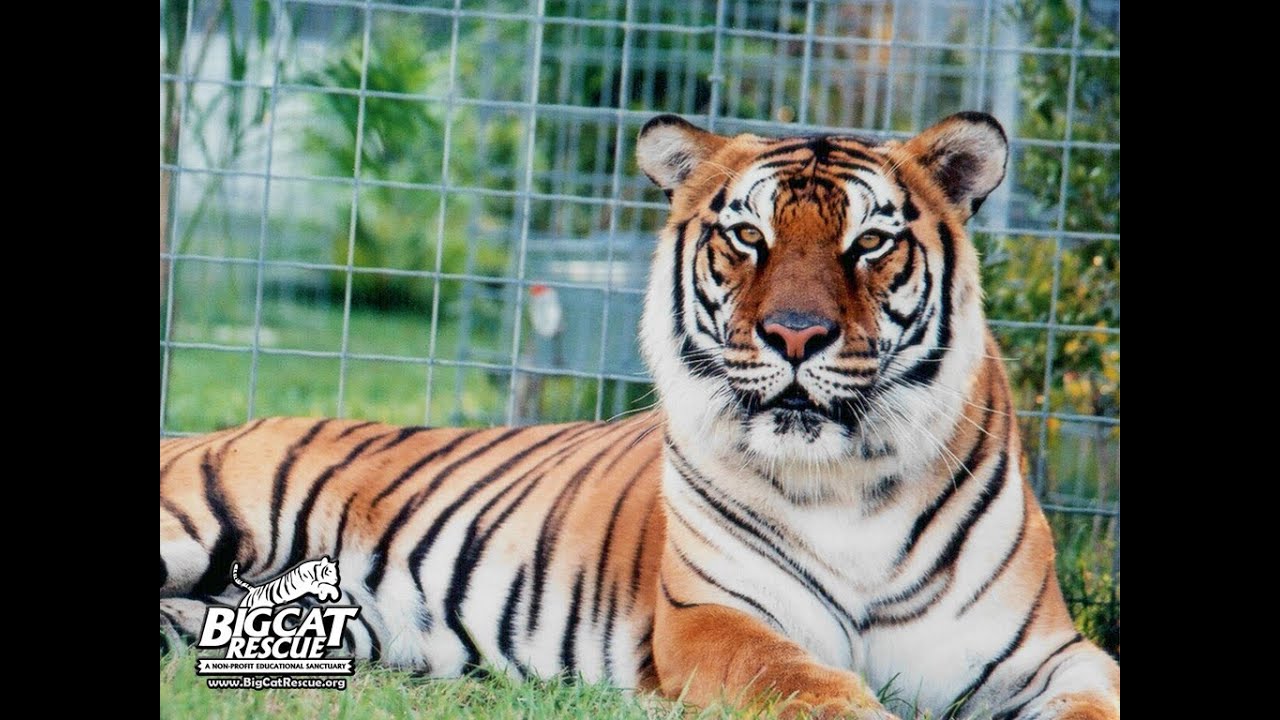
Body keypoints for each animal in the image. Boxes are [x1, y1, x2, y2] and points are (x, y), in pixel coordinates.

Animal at [159, 111, 1120, 719]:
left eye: (870, 243)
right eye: (748, 238)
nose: (795, 334)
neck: (850, 486)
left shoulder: (1045, 652)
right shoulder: (717, 620)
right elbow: (810, 686)